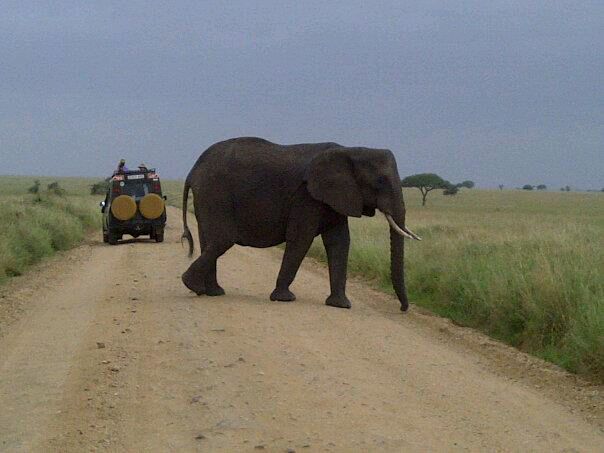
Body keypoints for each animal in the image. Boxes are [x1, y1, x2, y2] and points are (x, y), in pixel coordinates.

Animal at [182, 136, 422, 308]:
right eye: (380, 181)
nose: (403, 308)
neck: (350, 150)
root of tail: (193, 170)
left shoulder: (335, 197)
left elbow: (340, 242)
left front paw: (341, 305)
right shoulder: (306, 196)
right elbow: (301, 239)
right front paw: (284, 299)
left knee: (210, 240)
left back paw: (212, 292)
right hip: (215, 194)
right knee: (223, 238)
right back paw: (194, 286)